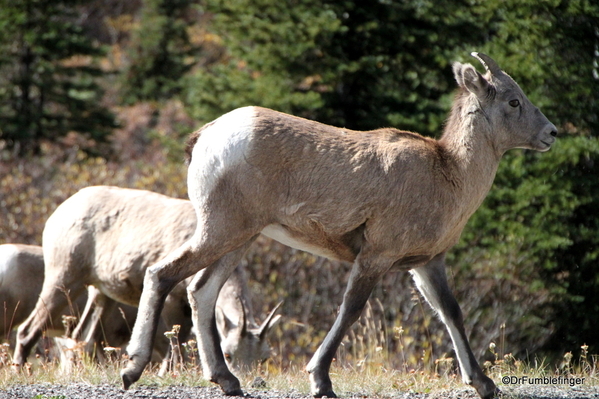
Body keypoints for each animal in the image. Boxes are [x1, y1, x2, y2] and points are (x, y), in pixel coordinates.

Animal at [12, 188, 282, 372]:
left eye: (264, 358)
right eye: (228, 354)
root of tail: (59, 213)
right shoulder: (173, 300)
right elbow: (176, 343)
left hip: (101, 293)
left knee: (82, 337)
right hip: (64, 278)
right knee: (28, 329)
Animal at [120, 54, 556, 399]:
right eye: (514, 100)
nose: (551, 133)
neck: (450, 174)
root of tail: (205, 137)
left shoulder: (427, 263)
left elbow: (451, 312)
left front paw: (483, 384)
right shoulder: (375, 256)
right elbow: (350, 310)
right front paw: (321, 381)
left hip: (241, 238)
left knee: (201, 291)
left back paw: (227, 381)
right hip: (221, 230)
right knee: (162, 274)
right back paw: (131, 369)